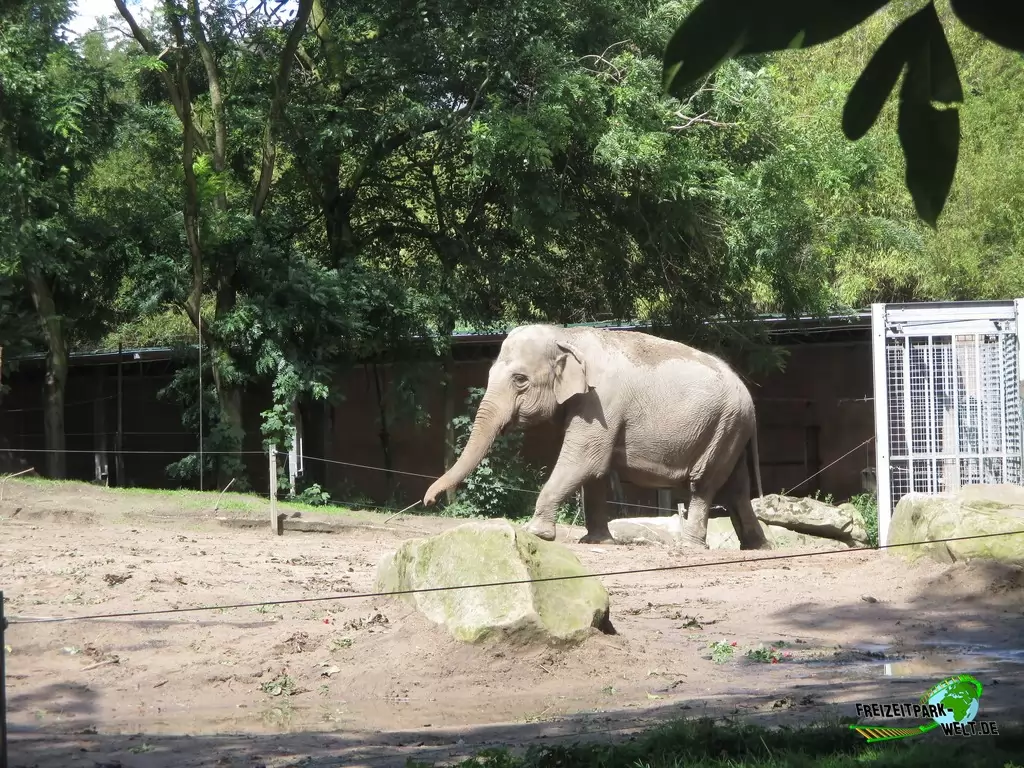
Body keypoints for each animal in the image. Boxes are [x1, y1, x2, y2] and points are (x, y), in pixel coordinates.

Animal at [422, 323, 769, 550]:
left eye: (520, 380)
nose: (428, 501)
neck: (566, 335)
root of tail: (750, 399)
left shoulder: (601, 401)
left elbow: (583, 461)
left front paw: (533, 532)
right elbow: (595, 471)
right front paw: (596, 541)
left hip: (723, 426)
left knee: (703, 484)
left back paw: (690, 547)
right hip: (729, 430)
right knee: (736, 488)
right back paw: (757, 547)